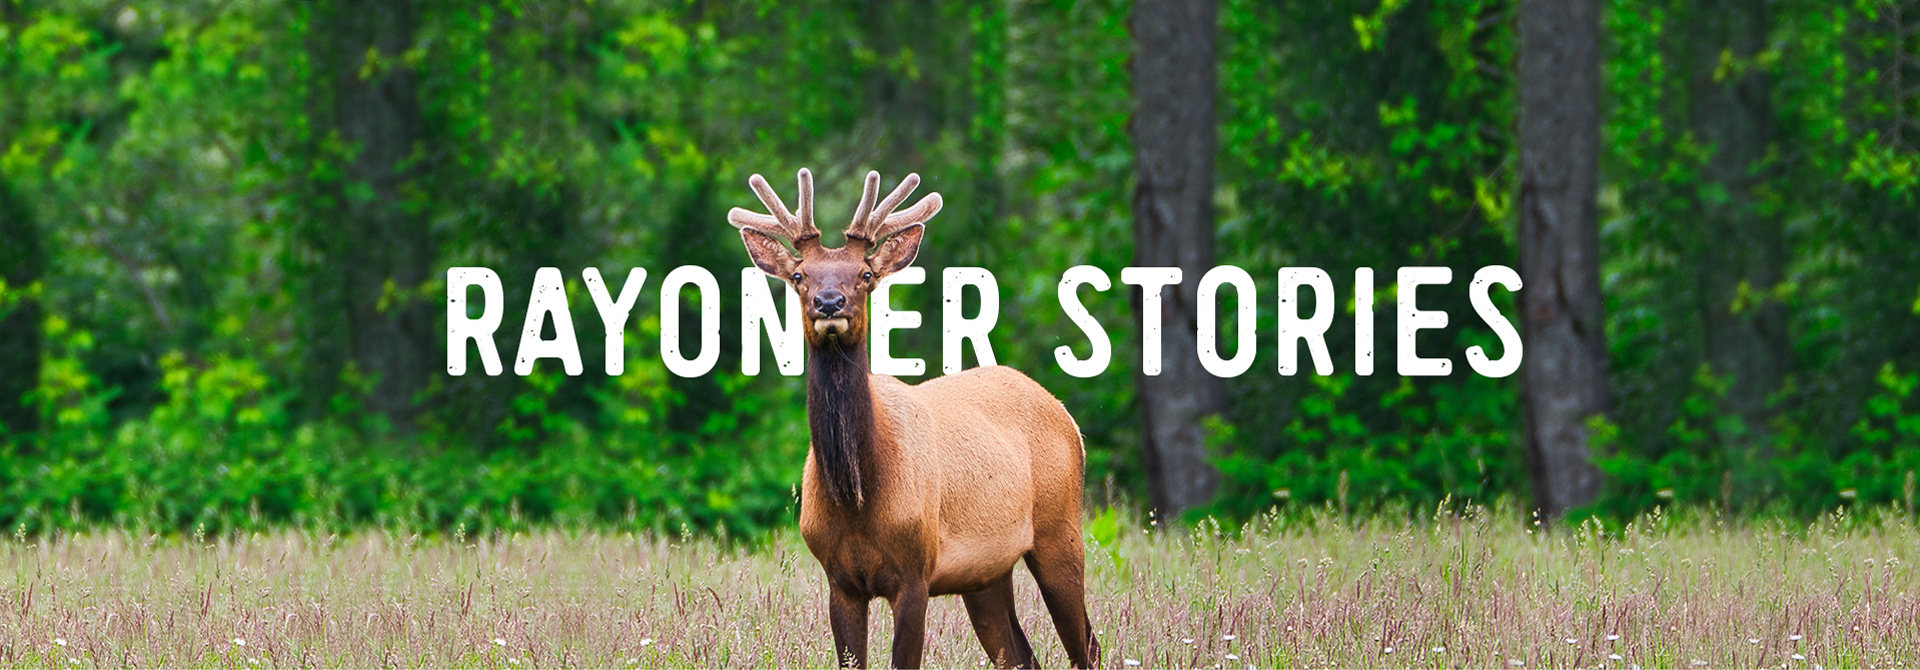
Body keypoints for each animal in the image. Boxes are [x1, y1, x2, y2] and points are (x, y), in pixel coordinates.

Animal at [727, 168, 1100, 669]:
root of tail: (1068, 419)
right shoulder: (839, 580)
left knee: (1088, 646)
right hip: (986, 573)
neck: (858, 497)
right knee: (1020, 654)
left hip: (1060, 529)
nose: (829, 303)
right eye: (799, 275)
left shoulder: (916, 571)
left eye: (865, 274)